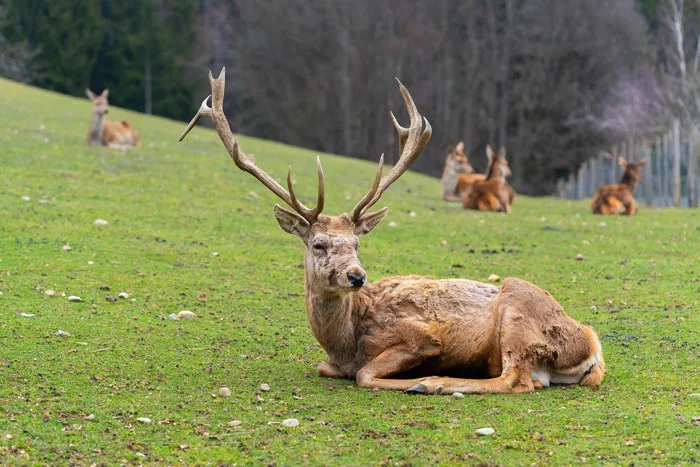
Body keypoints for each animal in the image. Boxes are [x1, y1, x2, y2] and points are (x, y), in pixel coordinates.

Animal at [179, 68, 605, 395]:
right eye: (319, 244)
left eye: (356, 242)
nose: (356, 275)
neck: (346, 341)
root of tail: (592, 345)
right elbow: (325, 367)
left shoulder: (421, 336)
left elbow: (366, 374)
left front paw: (416, 378)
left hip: (518, 311)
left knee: (516, 380)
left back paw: (433, 383)